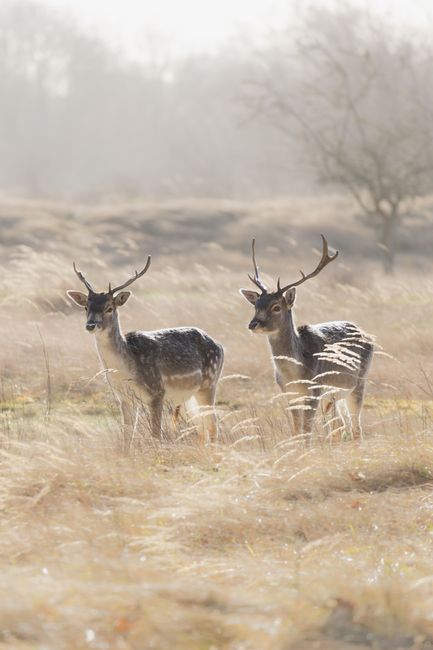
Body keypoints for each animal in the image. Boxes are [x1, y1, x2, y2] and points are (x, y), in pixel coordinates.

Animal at [67, 258, 224, 446]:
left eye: (109, 308)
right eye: (86, 307)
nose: (90, 325)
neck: (124, 371)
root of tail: (220, 346)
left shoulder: (157, 392)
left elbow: (156, 435)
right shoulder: (124, 397)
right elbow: (127, 436)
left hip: (209, 384)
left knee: (213, 425)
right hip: (190, 395)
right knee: (201, 427)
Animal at [240, 236, 373, 440]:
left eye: (276, 307)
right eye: (256, 305)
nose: (253, 324)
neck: (294, 374)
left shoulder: (314, 389)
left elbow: (306, 431)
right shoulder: (289, 393)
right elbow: (296, 430)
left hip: (358, 382)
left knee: (357, 428)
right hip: (336, 396)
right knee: (343, 426)